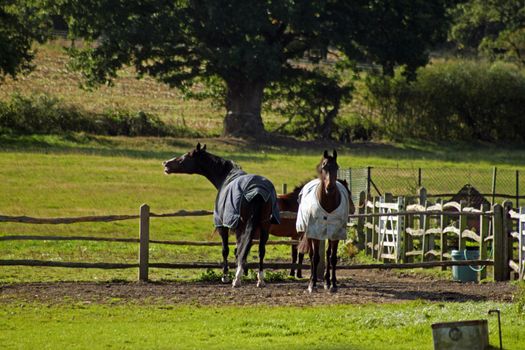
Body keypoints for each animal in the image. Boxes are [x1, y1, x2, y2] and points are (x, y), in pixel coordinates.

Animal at [163, 142, 278, 288]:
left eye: (186, 156)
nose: (166, 163)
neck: (226, 176)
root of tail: (257, 191)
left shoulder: (222, 226)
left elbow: (226, 250)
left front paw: (226, 276)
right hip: (264, 226)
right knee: (260, 250)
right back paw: (260, 279)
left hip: (243, 226)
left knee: (242, 249)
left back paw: (237, 278)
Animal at [294, 150, 352, 292]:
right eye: (324, 167)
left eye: (337, 167)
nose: (329, 188)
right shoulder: (315, 233)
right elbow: (315, 258)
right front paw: (312, 284)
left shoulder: (335, 234)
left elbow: (332, 258)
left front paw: (333, 284)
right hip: (311, 234)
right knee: (311, 255)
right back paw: (312, 279)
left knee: (327, 254)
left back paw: (327, 281)